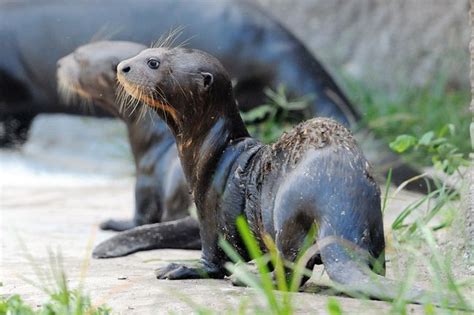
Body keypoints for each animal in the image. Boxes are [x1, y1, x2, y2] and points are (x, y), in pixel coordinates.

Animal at [57, 40, 200, 256]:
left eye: (78, 57)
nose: (59, 64)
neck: (156, 136)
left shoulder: (145, 177)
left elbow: (141, 215)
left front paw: (112, 222)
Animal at [114, 47, 466, 308]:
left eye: (153, 62)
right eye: (147, 51)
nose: (122, 66)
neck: (211, 153)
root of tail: (339, 209)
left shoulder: (209, 204)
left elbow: (214, 256)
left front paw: (183, 267)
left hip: (287, 210)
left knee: (294, 270)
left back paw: (250, 278)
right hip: (373, 216)